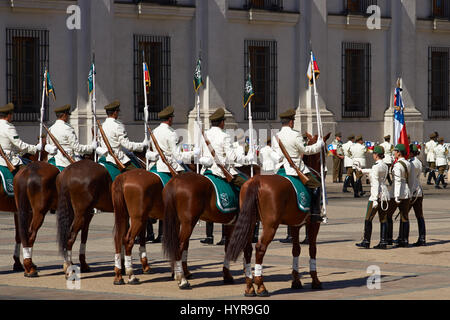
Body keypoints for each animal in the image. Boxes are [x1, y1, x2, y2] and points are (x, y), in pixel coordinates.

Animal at [225, 131, 330, 296]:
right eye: (325, 150)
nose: (325, 171)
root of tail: (255, 181)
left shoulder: (294, 224)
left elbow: (296, 250)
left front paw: (296, 281)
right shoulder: (313, 224)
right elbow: (312, 249)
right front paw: (315, 280)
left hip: (251, 222)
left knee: (247, 248)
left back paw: (249, 287)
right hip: (270, 226)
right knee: (259, 248)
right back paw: (261, 285)